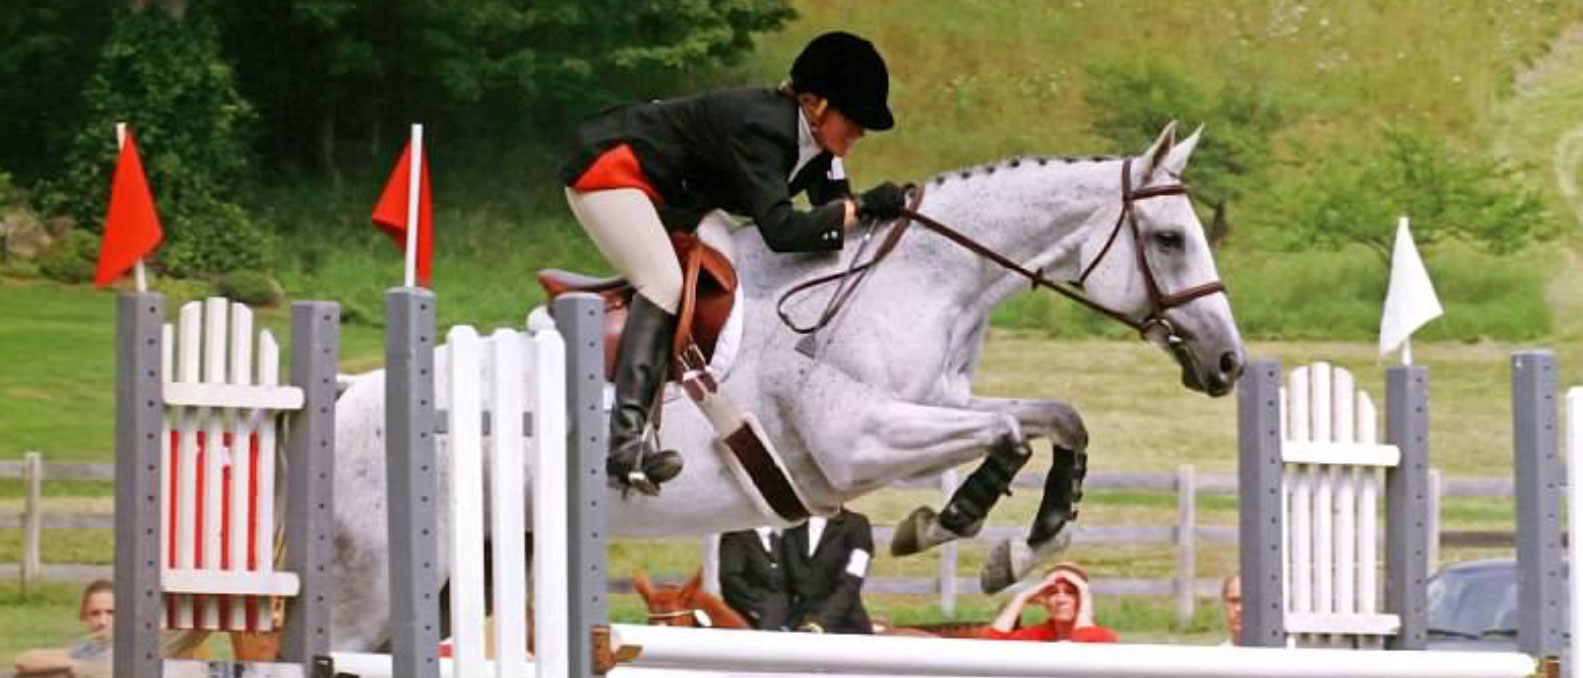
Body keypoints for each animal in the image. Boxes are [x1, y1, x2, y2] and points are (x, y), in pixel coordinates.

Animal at [330, 122, 1247, 652]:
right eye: (1168, 239)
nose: (1228, 363)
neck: (917, 280)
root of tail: (345, 399)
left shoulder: (936, 405)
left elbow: (1057, 418)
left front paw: (1017, 544)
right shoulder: (857, 442)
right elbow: (1009, 435)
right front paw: (946, 523)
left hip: (465, 574)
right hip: (371, 592)